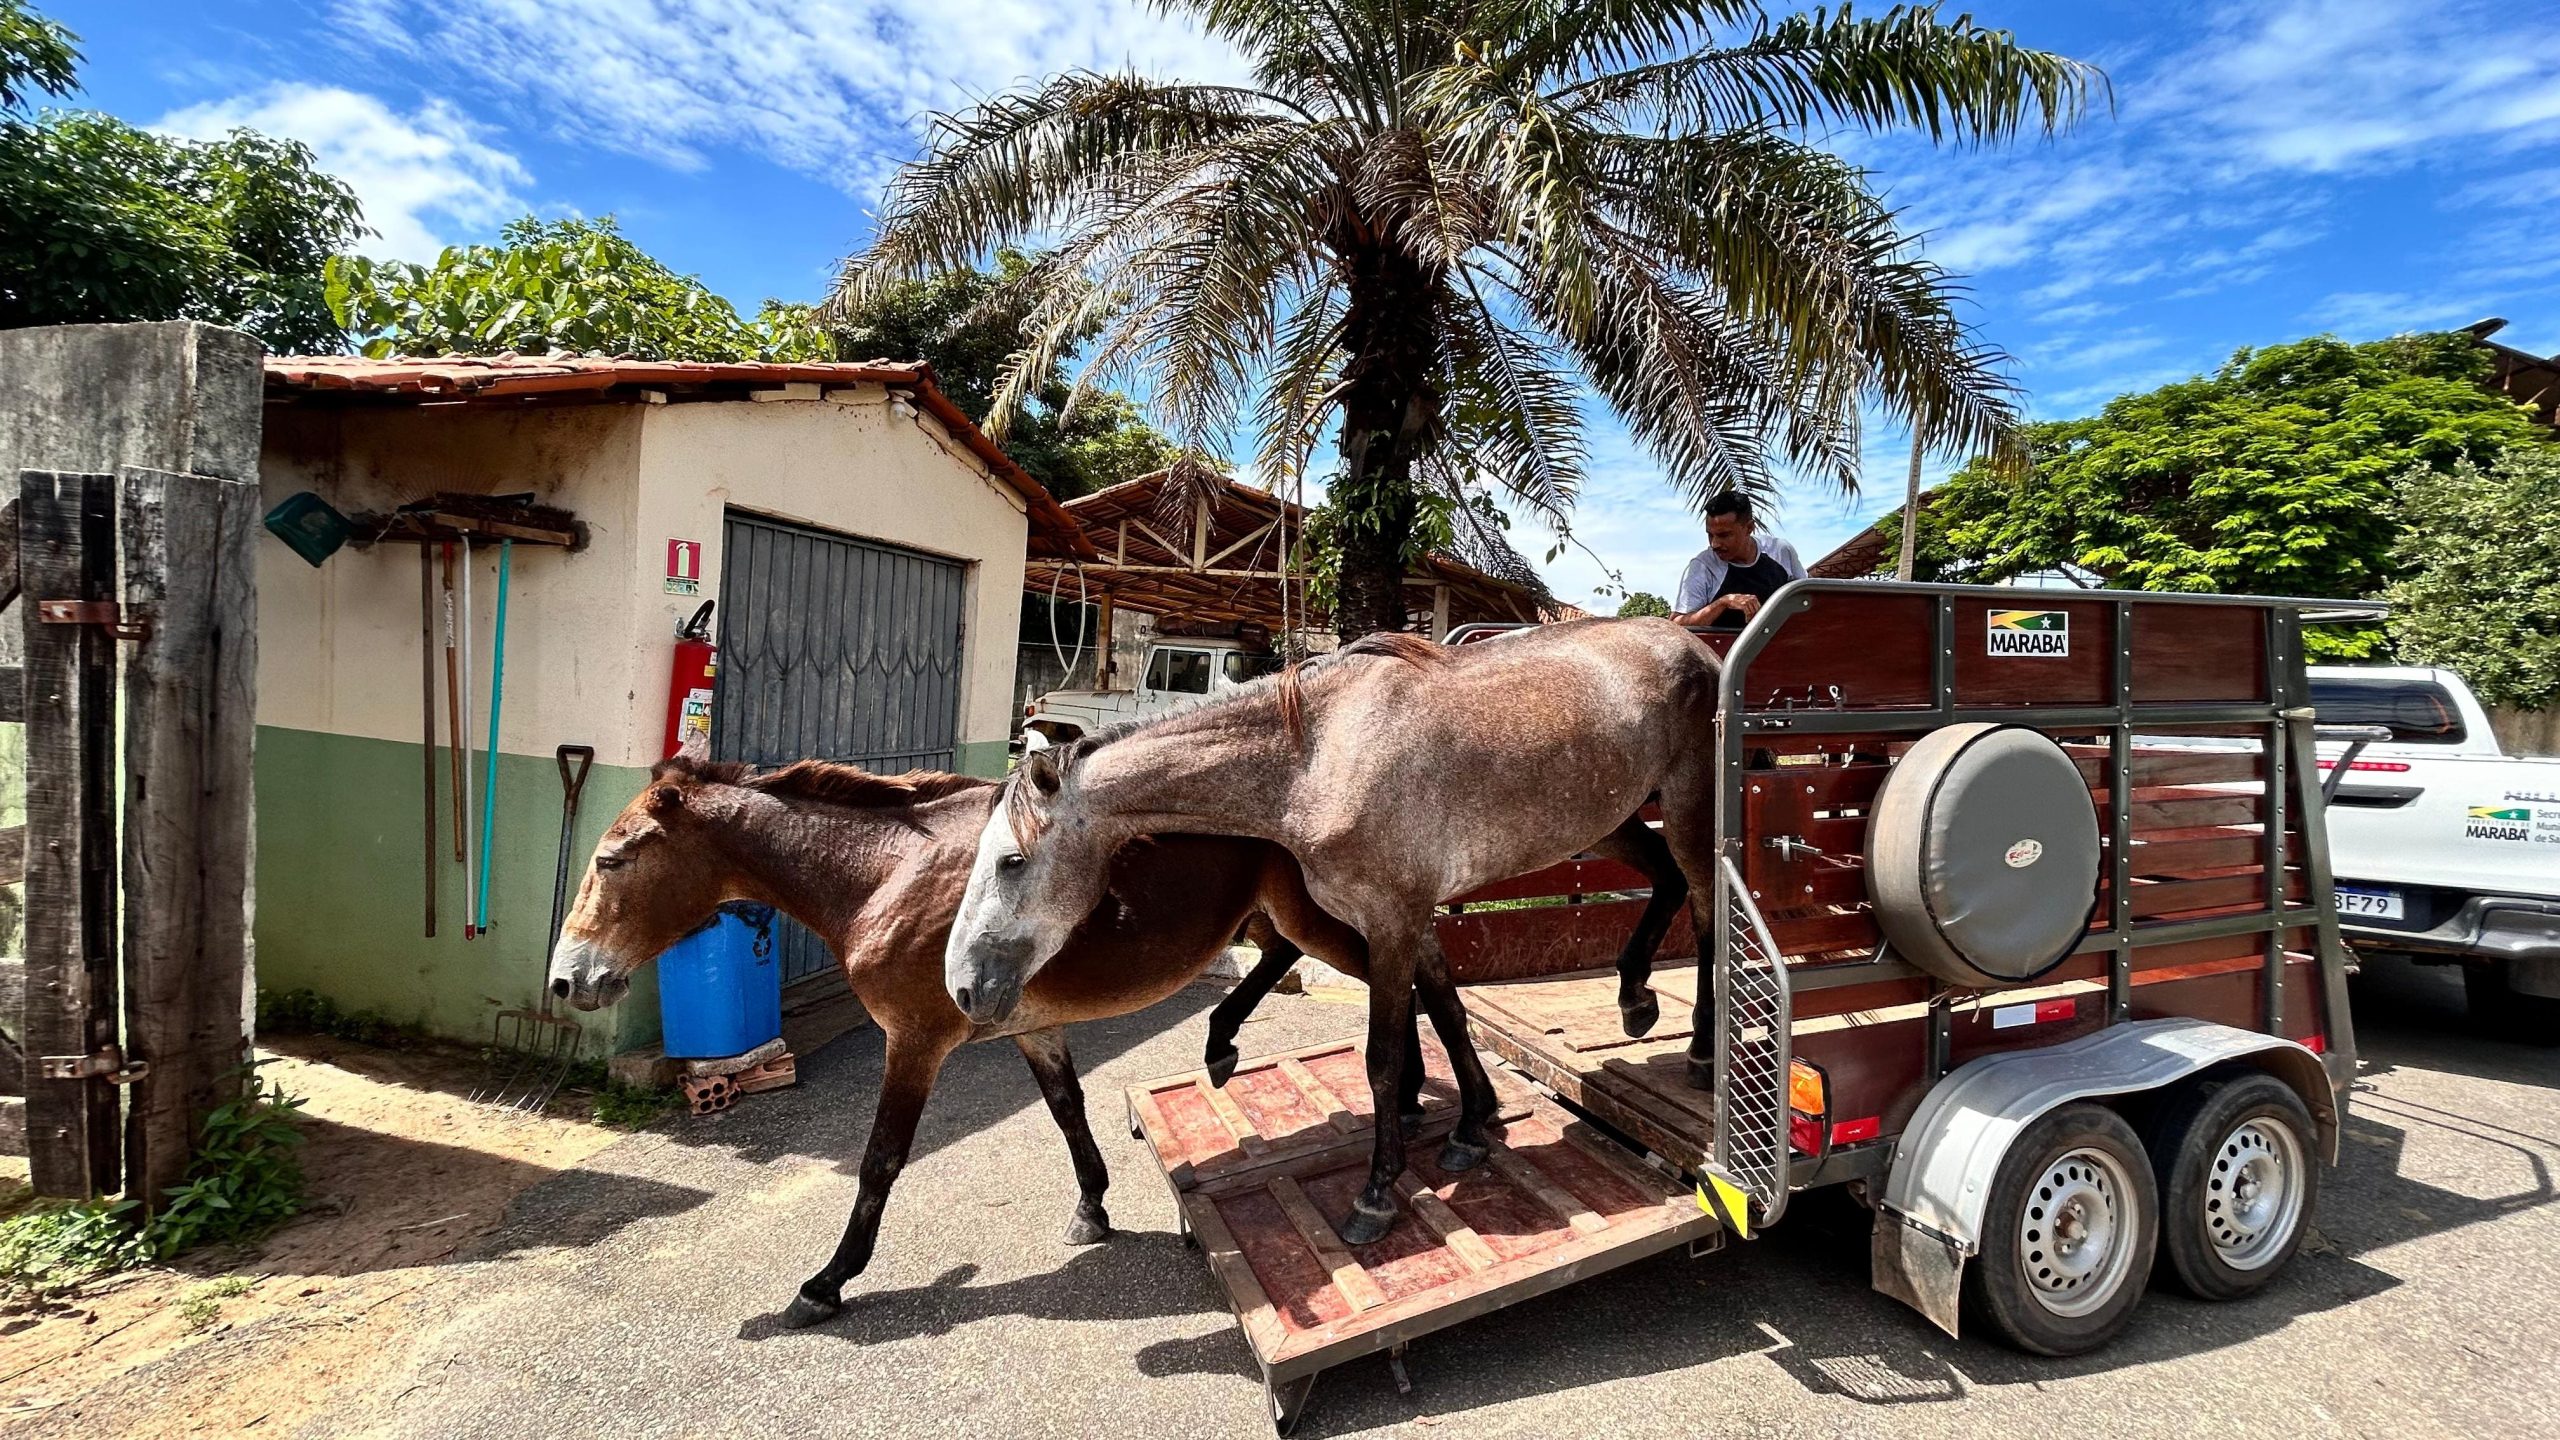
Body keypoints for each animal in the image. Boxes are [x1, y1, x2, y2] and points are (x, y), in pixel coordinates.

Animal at [942, 609, 1720, 1240]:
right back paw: (1635, 1000)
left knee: (1711, 914)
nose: (964, 985)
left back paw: (1702, 1052)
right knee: (1669, 882)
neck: (1316, 758)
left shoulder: (1394, 917)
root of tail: (1693, 643)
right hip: (1614, 819)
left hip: (1689, 808)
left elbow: (1384, 1054)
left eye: (1011, 861)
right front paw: (1469, 1127)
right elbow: (1440, 1008)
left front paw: (1376, 1195)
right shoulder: (1390, 918)